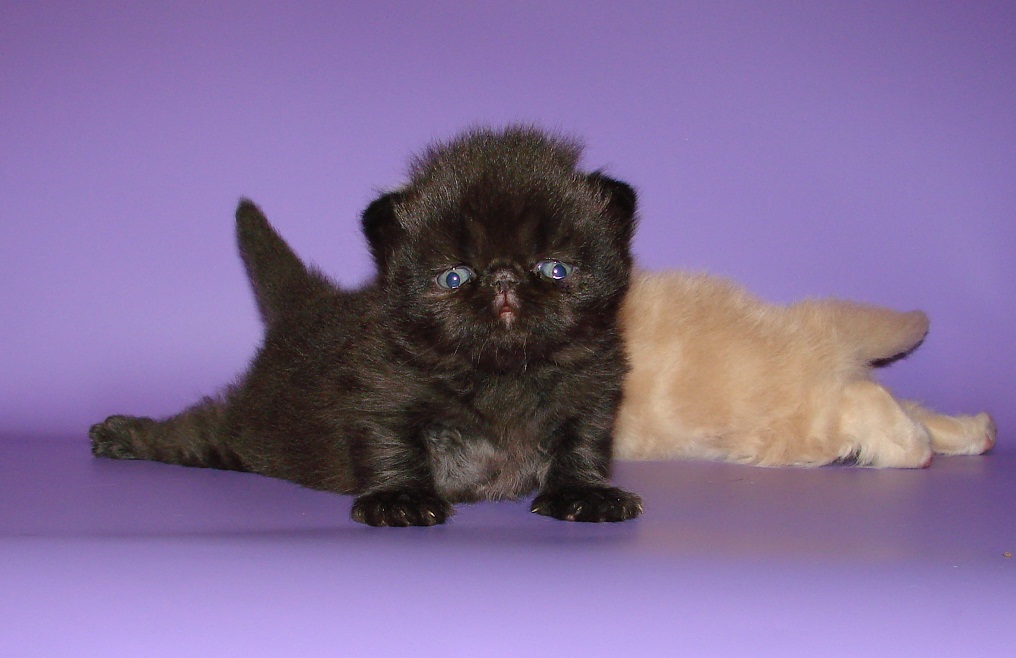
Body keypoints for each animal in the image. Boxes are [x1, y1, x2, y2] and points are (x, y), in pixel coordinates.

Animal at [89, 127, 644, 526]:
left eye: (555, 269)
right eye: (454, 276)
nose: (503, 278)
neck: (500, 376)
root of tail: (309, 307)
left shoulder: (592, 394)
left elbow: (582, 444)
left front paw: (584, 492)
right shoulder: (381, 388)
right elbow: (392, 443)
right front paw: (399, 497)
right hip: (247, 432)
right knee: (192, 432)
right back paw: (122, 434)